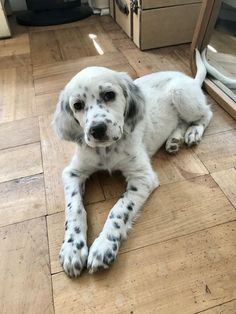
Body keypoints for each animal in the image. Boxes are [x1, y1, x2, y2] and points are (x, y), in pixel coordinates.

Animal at [53, 49, 212, 278]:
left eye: (109, 95)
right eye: (78, 106)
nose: (97, 130)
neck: (107, 150)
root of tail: (190, 79)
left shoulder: (142, 176)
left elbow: (119, 208)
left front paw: (104, 247)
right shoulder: (73, 172)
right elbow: (73, 208)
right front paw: (72, 248)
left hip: (182, 95)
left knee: (206, 114)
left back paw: (193, 133)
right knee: (181, 121)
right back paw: (174, 140)